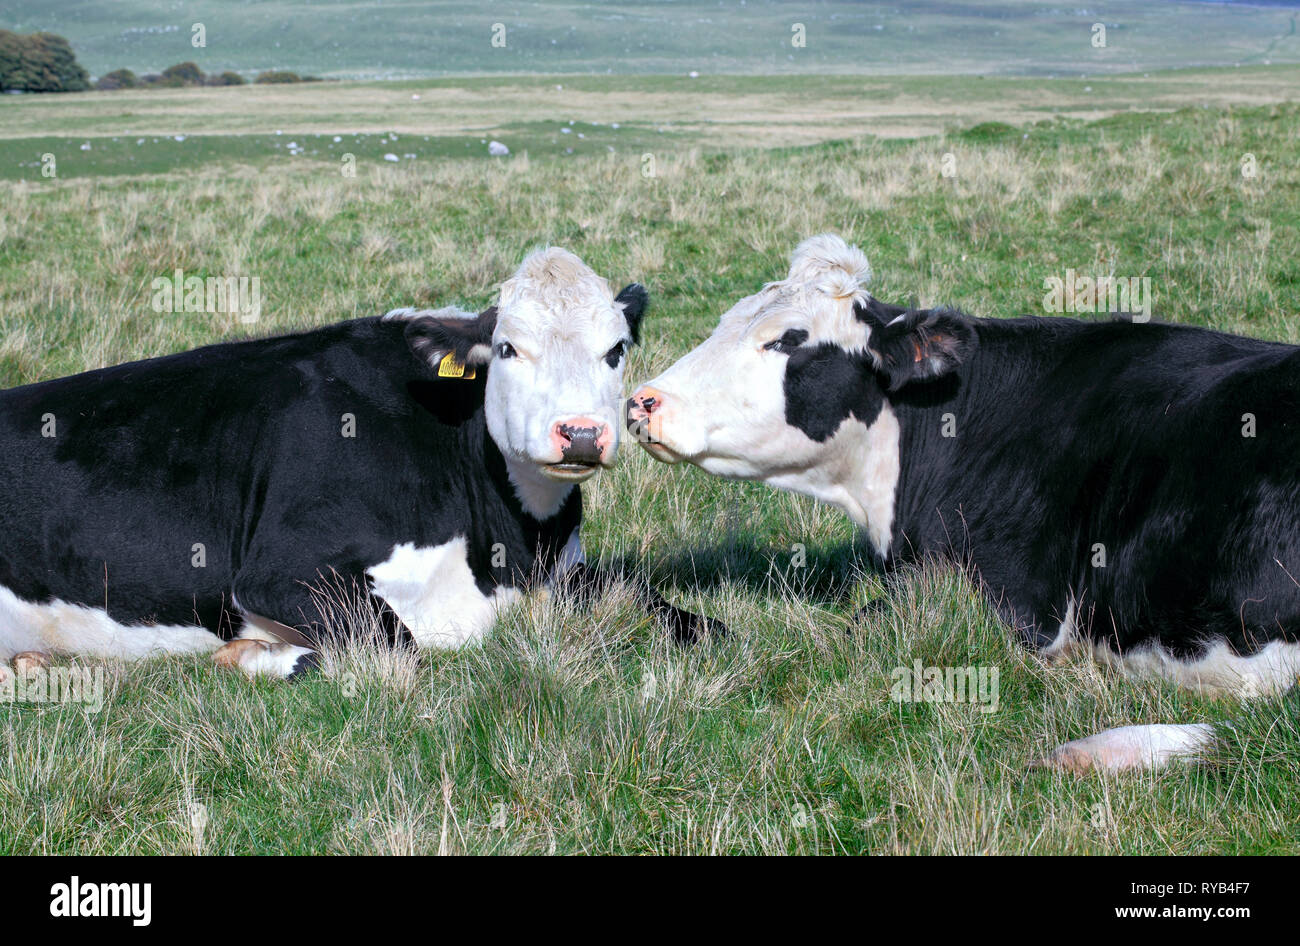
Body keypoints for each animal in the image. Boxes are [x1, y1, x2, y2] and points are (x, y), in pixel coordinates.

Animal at [0, 248, 722, 686]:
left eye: (616, 349)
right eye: (508, 349)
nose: (579, 434)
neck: (510, 547)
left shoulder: (568, 571)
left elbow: (691, 619)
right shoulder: (279, 572)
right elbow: (394, 648)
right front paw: (254, 653)